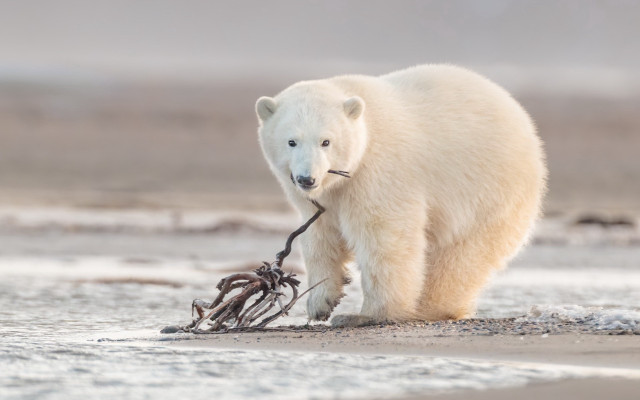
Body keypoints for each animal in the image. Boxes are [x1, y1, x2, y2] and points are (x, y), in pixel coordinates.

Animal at [255, 64, 547, 327]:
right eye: (291, 141)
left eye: (326, 141)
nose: (307, 178)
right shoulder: (321, 200)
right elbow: (321, 239)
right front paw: (320, 303)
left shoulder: (380, 172)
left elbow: (384, 237)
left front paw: (365, 315)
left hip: (490, 192)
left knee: (460, 258)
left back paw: (430, 308)